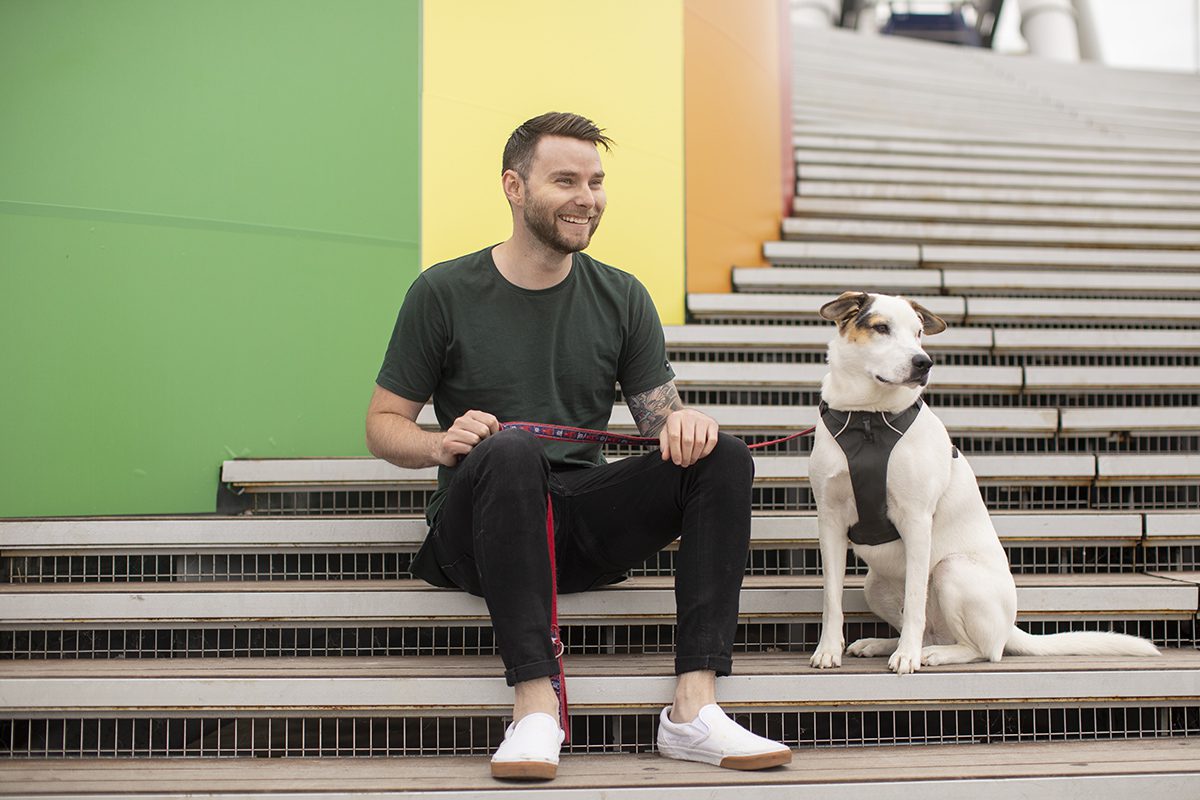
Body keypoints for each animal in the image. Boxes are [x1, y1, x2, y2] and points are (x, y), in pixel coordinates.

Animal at [811, 291, 1156, 671]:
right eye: (881, 328)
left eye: (919, 333)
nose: (924, 363)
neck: (868, 419)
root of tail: (1010, 627)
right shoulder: (830, 520)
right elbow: (831, 598)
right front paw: (828, 649)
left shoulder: (916, 519)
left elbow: (915, 599)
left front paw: (907, 657)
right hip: (874, 585)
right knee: (931, 629)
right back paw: (883, 644)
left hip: (952, 570)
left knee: (983, 649)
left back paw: (931, 652)